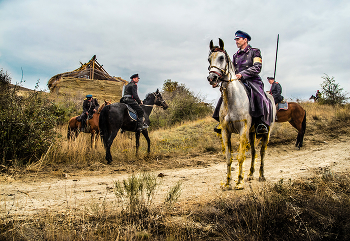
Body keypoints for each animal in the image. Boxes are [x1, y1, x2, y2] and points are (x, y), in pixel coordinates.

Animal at [206, 38, 274, 190]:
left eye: (222, 57)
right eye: (209, 59)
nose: (212, 78)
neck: (233, 100)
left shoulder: (243, 130)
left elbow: (241, 157)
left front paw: (239, 182)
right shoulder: (226, 131)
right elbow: (228, 157)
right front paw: (227, 182)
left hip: (266, 132)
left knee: (262, 152)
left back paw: (261, 175)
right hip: (252, 133)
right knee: (254, 152)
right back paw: (250, 174)